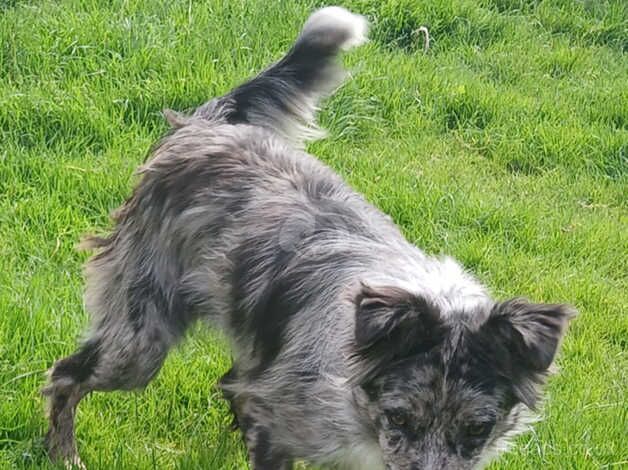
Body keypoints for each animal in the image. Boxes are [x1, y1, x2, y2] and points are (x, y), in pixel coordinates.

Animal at [41, 7, 576, 470]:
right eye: (400, 417)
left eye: (477, 428)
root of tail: (205, 127)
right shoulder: (277, 423)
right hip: (141, 336)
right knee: (67, 375)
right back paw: (63, 454)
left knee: (229, 381)